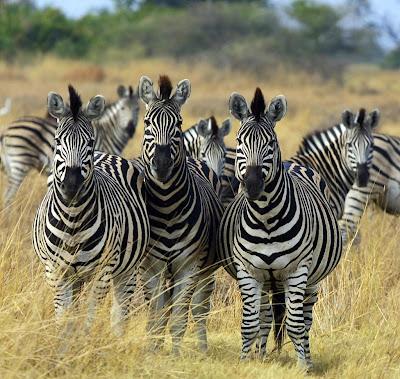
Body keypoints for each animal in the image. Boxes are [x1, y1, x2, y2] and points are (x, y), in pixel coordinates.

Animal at [0, 84, 140, 209]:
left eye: (137, 109)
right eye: (122, 108)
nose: (131, 129)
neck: (106, 133)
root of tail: (5, 129)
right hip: (21, 161)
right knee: (9, 194)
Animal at [31, 87, 150, 338]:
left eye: (90, 141)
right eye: (57, 141)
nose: (72, 184)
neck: (73, 218)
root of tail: (106, 154)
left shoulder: (102, 271)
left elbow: (90, 319)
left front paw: (85, 344)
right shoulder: (55, 272)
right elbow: (64, 319)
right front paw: (65, 345)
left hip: (128, 267)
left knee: (120, 311)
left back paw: (116, 340)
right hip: (75, 277)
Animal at [138, 75, 225, 356]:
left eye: (178, 124)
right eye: (147, 123)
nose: (163, 164)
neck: (166, 207)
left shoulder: (189, 265)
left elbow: (179, 318)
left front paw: (175, 356)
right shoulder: (151, 267)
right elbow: (156, 316)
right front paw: (152, 353)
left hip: (205, 270)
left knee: (199, 310)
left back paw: (203, 350)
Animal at [217, 87, 342, 370]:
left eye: (271, 144)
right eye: (239, 142)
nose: (253, 185)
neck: (265, 218)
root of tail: (292, 163)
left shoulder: (297, 271)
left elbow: (295, 326)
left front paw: (303, 367)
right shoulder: (248, 271)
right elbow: (249, 325)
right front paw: (245, 363)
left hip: (311, 281)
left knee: (305, 321)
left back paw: (308, 359)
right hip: (267, 280)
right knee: (264, 317)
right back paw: (261, 355)